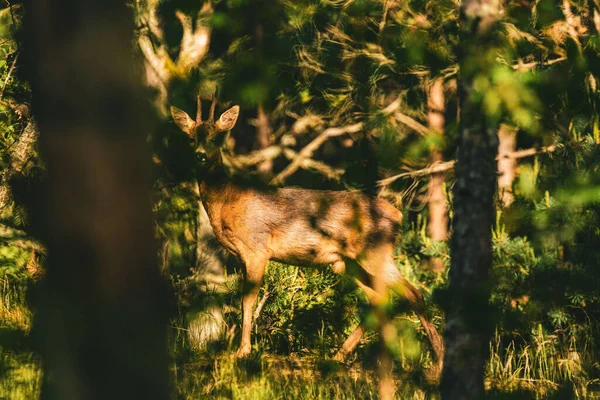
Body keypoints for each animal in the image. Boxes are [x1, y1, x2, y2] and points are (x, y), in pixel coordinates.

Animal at [171, 97, 442, 372]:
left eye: (216, 137)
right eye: (191, 138)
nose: (200, 156)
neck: (227, 200)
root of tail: (398, 216)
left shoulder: (257, 248)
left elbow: (247, 300)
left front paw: (243, 351)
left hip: (375, 252)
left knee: (414, 294)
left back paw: (438, 359)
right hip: (350, 262)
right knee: (379, 300)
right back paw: (340, 355)